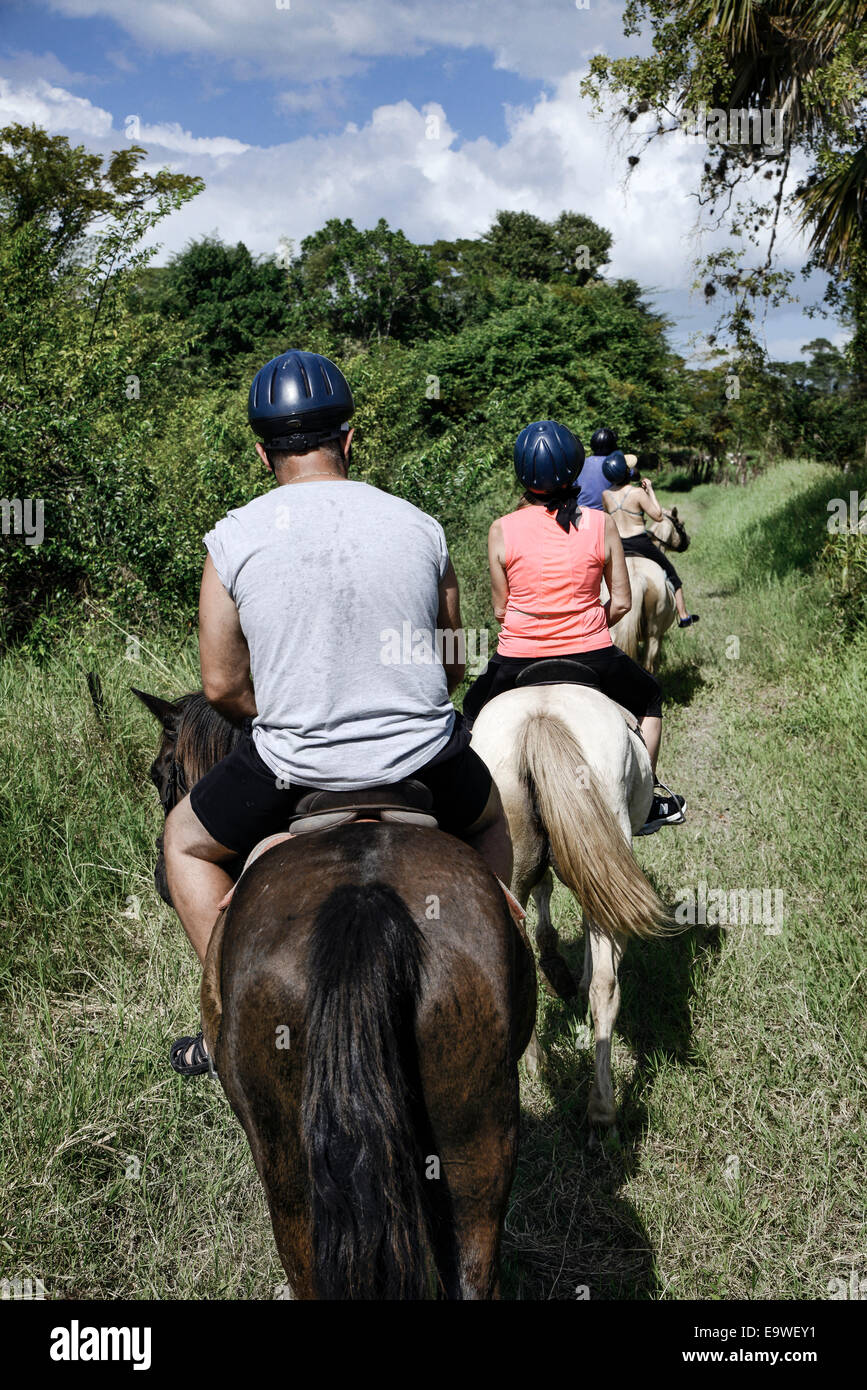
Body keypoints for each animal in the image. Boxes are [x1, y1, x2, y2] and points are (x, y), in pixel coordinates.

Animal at [608, 511, 691, 672]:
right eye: (681, 525)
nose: (688, 541)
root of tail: (637, 578)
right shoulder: (659, 637)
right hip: (653, 636)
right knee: (648, 667)